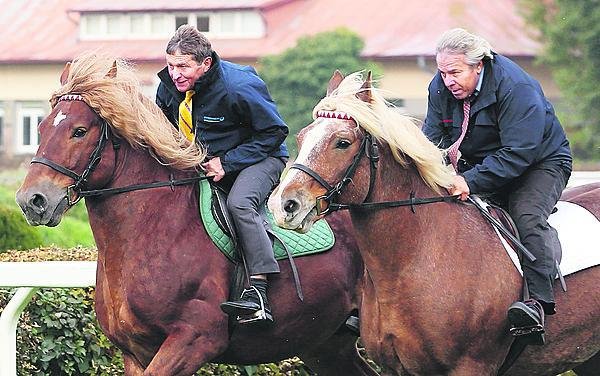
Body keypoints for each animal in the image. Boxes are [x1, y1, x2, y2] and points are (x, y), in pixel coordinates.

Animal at [16, 53, 378, 376]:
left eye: (79, 131)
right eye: (41, 128)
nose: (32, 200)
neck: (153, 231)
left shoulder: (194, 340)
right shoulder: (135, 351)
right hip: (326, 345)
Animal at [270, 71, 596, 376]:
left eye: (342, 142)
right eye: (301, 138)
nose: (284, 205)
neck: (418, 258)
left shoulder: (471, 366)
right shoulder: (394, 367)